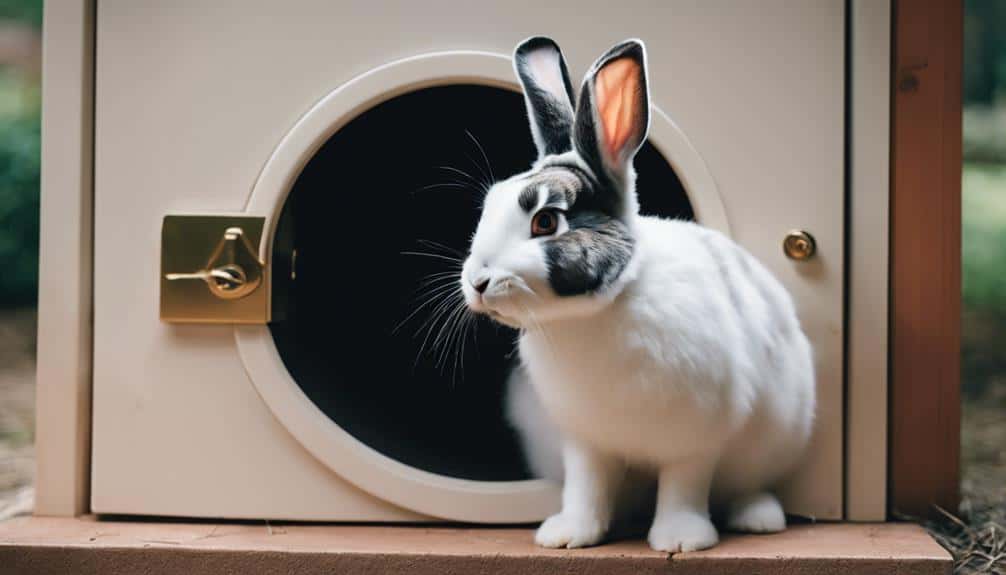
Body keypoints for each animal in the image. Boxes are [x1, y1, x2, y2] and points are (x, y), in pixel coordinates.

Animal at [460, 36, 815, 552]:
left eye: (545, 221)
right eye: (487, 208)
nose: (477, 281)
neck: (592, 314)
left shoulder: (695, 440)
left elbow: (684, 488)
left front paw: (681, 540)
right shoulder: (585, 442)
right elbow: (586, 487)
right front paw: (568, 536)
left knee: (747, 486)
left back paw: (759, 519)